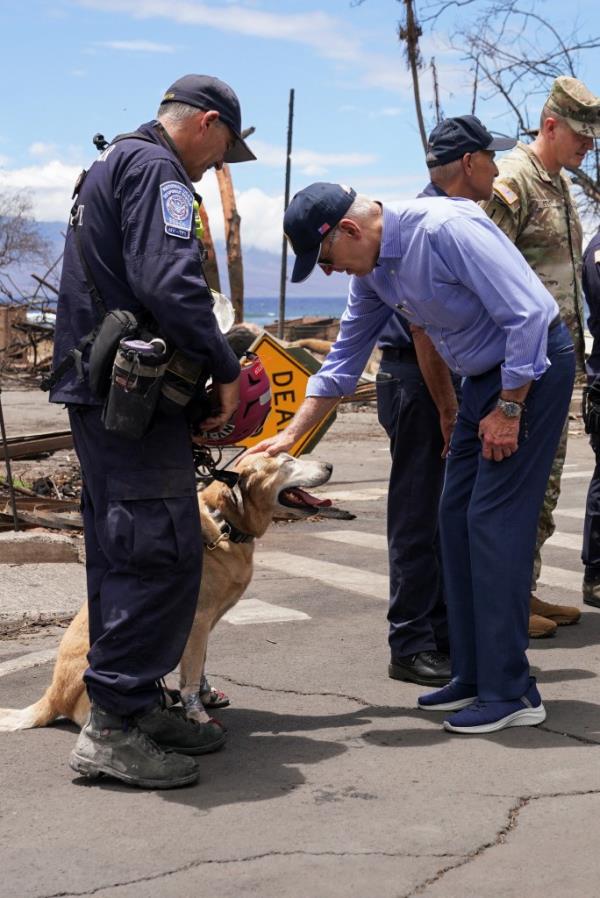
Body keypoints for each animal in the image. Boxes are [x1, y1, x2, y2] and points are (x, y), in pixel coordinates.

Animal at [0, 452, 332, 732]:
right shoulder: (197, 622)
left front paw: (205, 696)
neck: (224, 525)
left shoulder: (204, 626)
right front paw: (198, 714)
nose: (329, 466)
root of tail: (52, 697)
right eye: (288, 461)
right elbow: (192, 673)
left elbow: (200, 664)